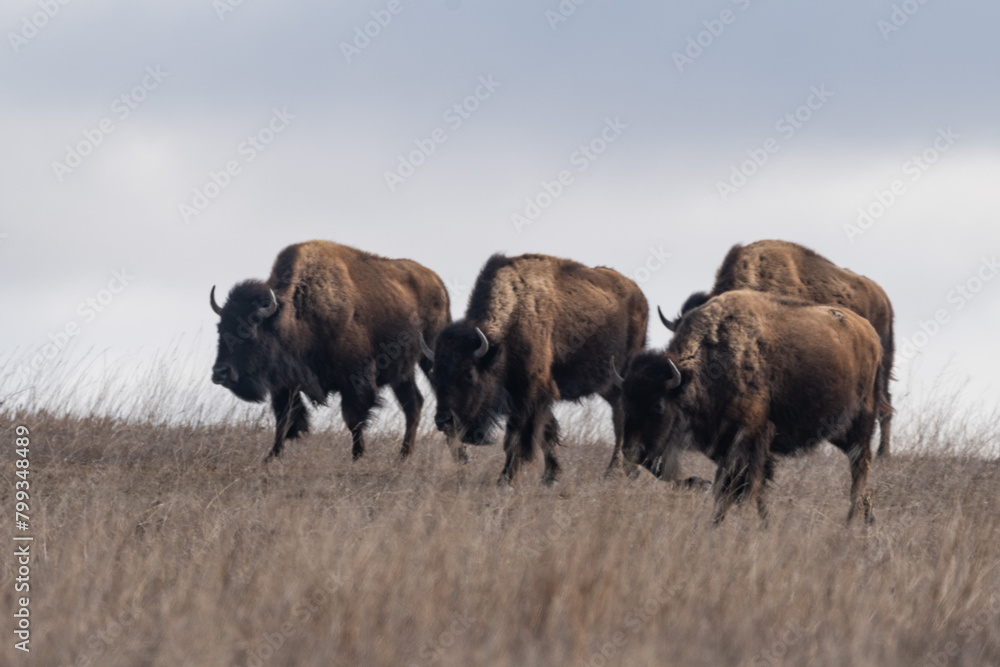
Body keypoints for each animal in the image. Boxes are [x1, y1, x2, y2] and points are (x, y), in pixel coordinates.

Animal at [211, 240, 450, 464]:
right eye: (220, 329)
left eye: (249, 330)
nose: (220, 373)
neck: (295, 316)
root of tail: (437, 281)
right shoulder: (286, 384)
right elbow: (284, 419)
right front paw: (271, 458)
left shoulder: (356, 380)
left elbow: (353, 419)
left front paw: (357, 457)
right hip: (402, 373)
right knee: (413, 404)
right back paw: (403, 456)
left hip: (429, 357)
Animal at [420, 254, 648, 486]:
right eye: (435, 374)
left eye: (469, 374)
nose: (444, 421)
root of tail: (638, 294)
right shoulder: (537, 397)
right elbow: (547, 434)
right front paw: (549, 477)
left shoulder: (531, 395)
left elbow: (517, 440)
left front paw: (505, 481)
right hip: (608, 385)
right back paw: (626, 470)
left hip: (622, 377)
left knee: (620, 420)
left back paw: (615, 472)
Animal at [624, 290, 884, 524]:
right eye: (625, 401)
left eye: (658, 404)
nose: (632, 452)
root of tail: (870, 333)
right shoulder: (728, 445)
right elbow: (742, 488)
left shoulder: (751, 437)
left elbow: (741, 486)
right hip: (838, 431)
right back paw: (866, 516)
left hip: (860, 423)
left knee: (860, 466)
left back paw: (850, 521)